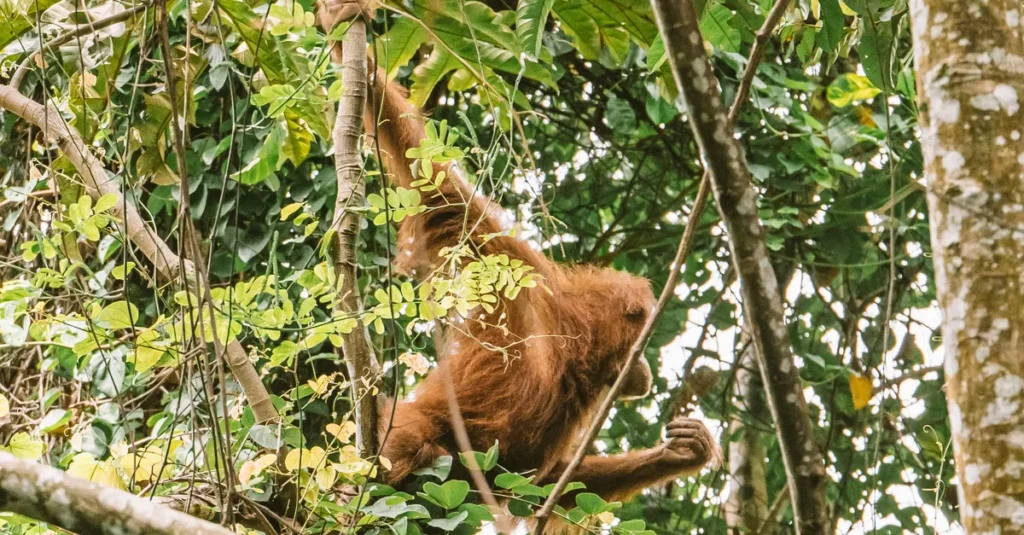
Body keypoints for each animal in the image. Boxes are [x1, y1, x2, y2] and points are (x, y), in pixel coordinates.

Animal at [316, 0, 720, 506]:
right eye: (643, 340)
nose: (646, 370)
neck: (574, 344)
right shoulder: (514, 271)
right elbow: (443, 195)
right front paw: (343, 17)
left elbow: (551, 483)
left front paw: (682, 453)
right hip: (405, 426)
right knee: (411, 440)